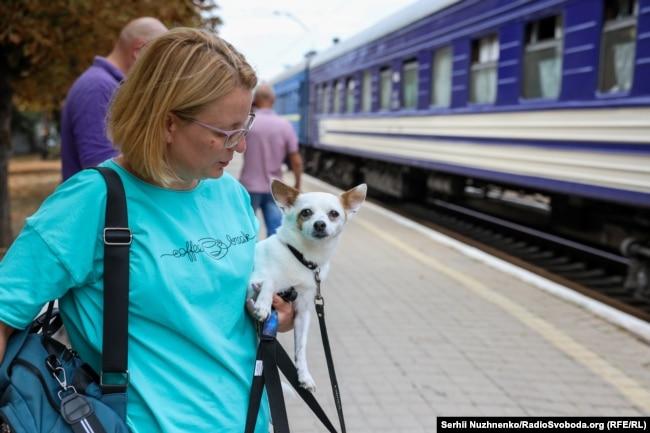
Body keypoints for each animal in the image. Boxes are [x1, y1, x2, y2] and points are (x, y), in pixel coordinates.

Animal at [249, 179, 364, 392]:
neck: (302, 257)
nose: (320, 224)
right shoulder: (251, 282)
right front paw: (262, 306)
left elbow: (300, 349)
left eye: (333, 214)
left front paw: (304, 376)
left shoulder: (302, 313)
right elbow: (270, 280)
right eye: (306, 212)